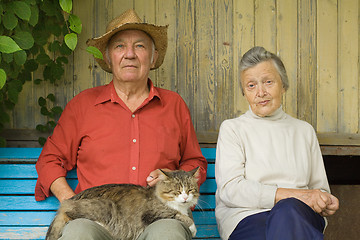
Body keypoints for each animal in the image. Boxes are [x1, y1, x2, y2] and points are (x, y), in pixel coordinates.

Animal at [45, 167, 200, 240]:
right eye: (177, 191)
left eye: (190, 190)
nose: (185, 197)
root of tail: (68, 201)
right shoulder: (154, 213)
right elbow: (180, 216)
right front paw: (193, 228)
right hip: (105, 206)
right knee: (70, 214)